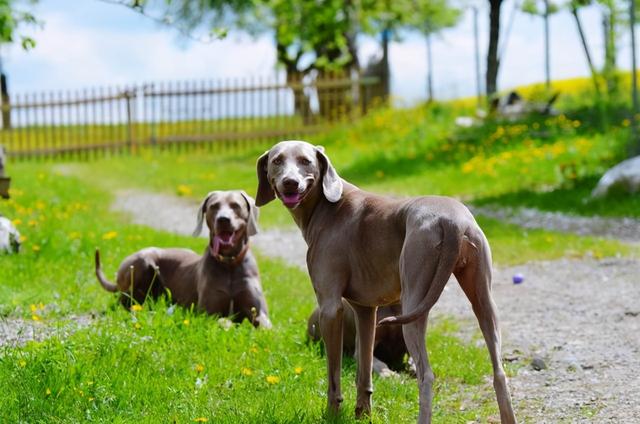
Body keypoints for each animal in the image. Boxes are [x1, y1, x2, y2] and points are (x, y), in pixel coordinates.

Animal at [96, 190, 272, 328]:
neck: (229, 263)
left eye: (235, 205)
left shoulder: (260, 313)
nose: (223, 219)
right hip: (142, 262)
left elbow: (265, 326)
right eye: (214, 206)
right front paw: (228, 324)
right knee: (122, 302)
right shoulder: (207, 313)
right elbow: (222, 320)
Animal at [254, 142, 516, 424]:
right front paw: (363, 413)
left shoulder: (331, 308)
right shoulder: (365, 310)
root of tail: (452, 221)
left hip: (413, 301)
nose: (290, 183)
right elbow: (364, 370)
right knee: (499, 371)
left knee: (426, 374)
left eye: (305, 160)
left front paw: (333, 413)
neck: (327, 207)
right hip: (483, 300)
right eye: (277, 161)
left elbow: (334, 377)